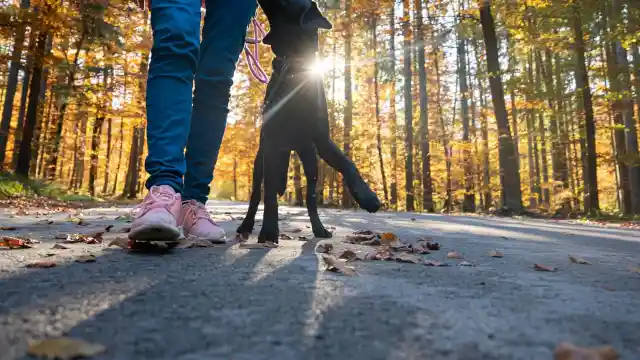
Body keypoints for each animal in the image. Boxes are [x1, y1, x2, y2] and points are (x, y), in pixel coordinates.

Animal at [238, 0, 382, 243]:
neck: (294, 67)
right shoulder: (271, 144)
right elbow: (270, 196)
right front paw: (269, 230)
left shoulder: (322, 140)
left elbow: (348, 164)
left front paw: (368, 197)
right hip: (260, 162)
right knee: (257, 194)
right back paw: (246, 225)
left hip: (310, 160)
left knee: (311, 196)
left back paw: (319, 228)